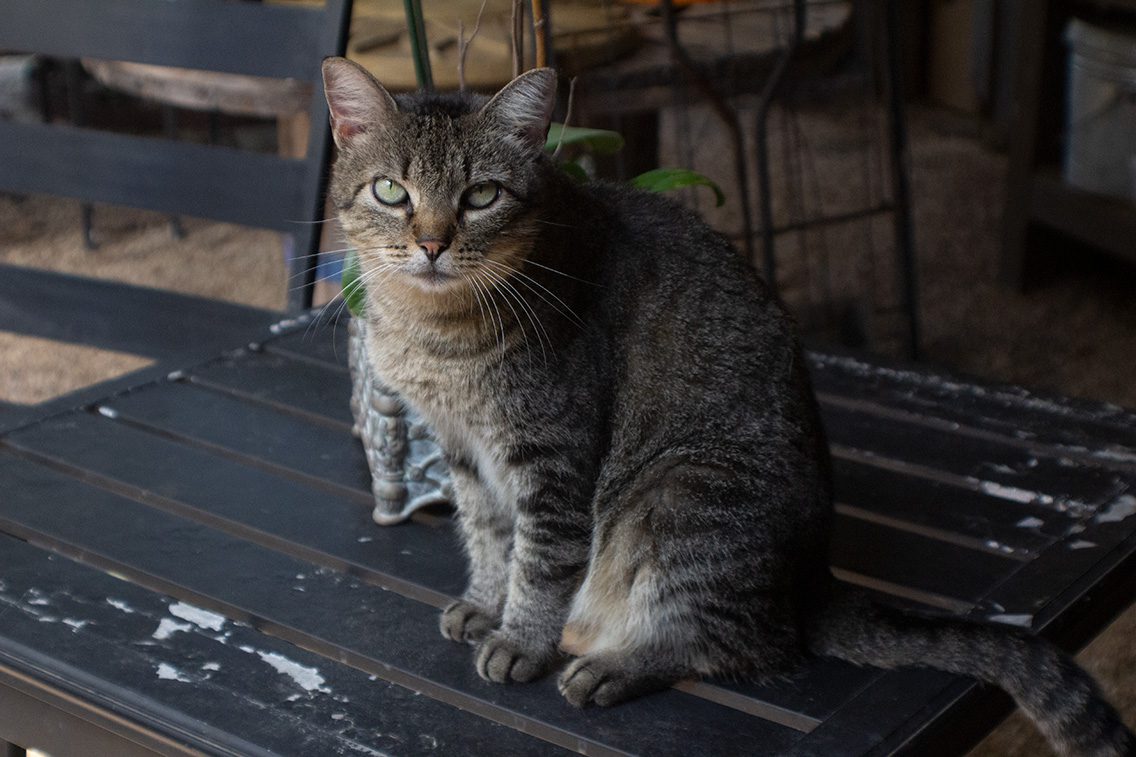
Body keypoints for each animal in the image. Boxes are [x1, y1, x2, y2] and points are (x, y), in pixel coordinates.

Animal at [324, 55, 1131, 750]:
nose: (432, 244)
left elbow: (541, 561)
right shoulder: (462, 449)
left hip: (682, 494)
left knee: (733, 641)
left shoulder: (552, 457)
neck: (433, 330)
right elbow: (490, 535)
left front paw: (520, 637)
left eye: (481, 195)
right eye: (392, 191)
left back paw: (611, 663)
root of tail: (813, 583)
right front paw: (485, 599)